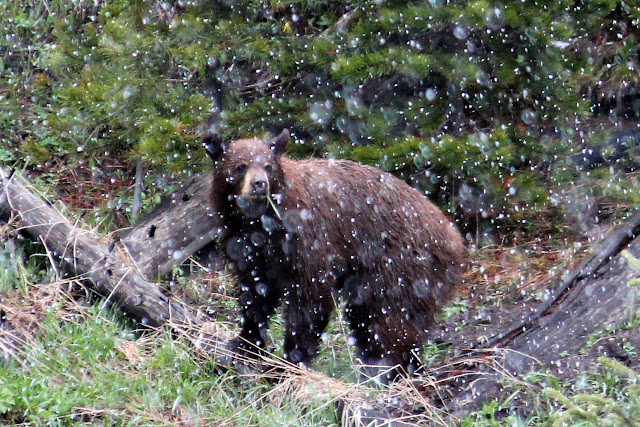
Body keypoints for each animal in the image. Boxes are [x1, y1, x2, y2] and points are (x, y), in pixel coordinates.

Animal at [205, 130, 464, 382]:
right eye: (240, 165)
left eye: (268, 166)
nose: (259, 184)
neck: (262, 223)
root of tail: (454, 237)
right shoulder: (247, 247)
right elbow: (255, 292)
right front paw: (243, 342)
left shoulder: (308, 239)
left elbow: (309, 300)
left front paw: (288, 362)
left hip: (400, 267)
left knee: (388, 321)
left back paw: (384, 372)